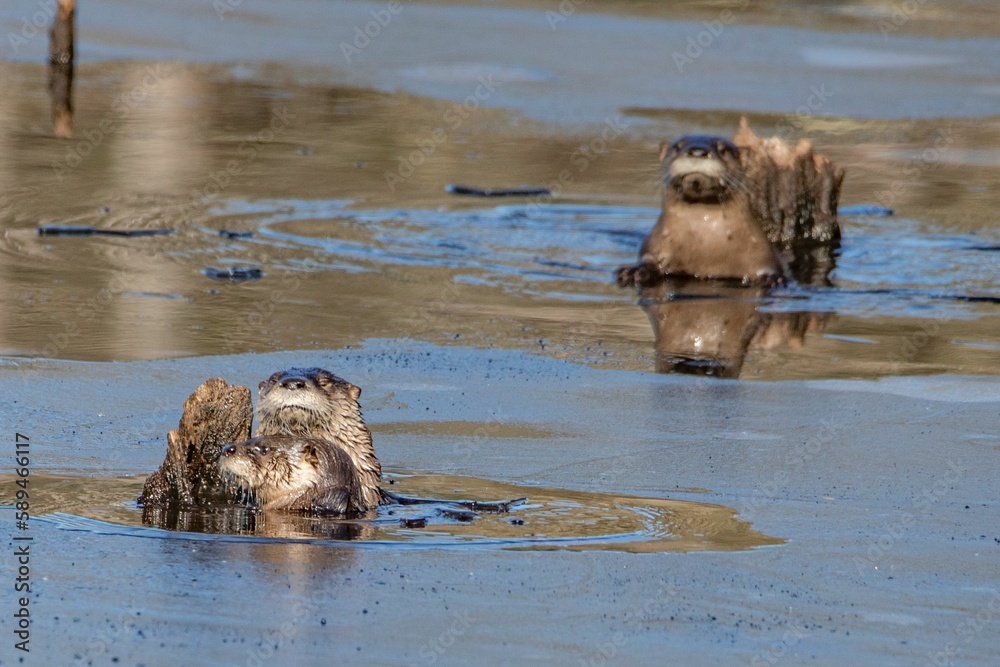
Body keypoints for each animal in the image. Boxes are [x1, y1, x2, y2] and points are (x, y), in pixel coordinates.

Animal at [618, 135, 782, 287]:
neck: (703, 240)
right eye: (676, 147)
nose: (697, 151)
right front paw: (635, 271)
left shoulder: (763, 254)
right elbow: (649, 260)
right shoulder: (654, 244)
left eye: (723, 150)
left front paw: (771, 278)